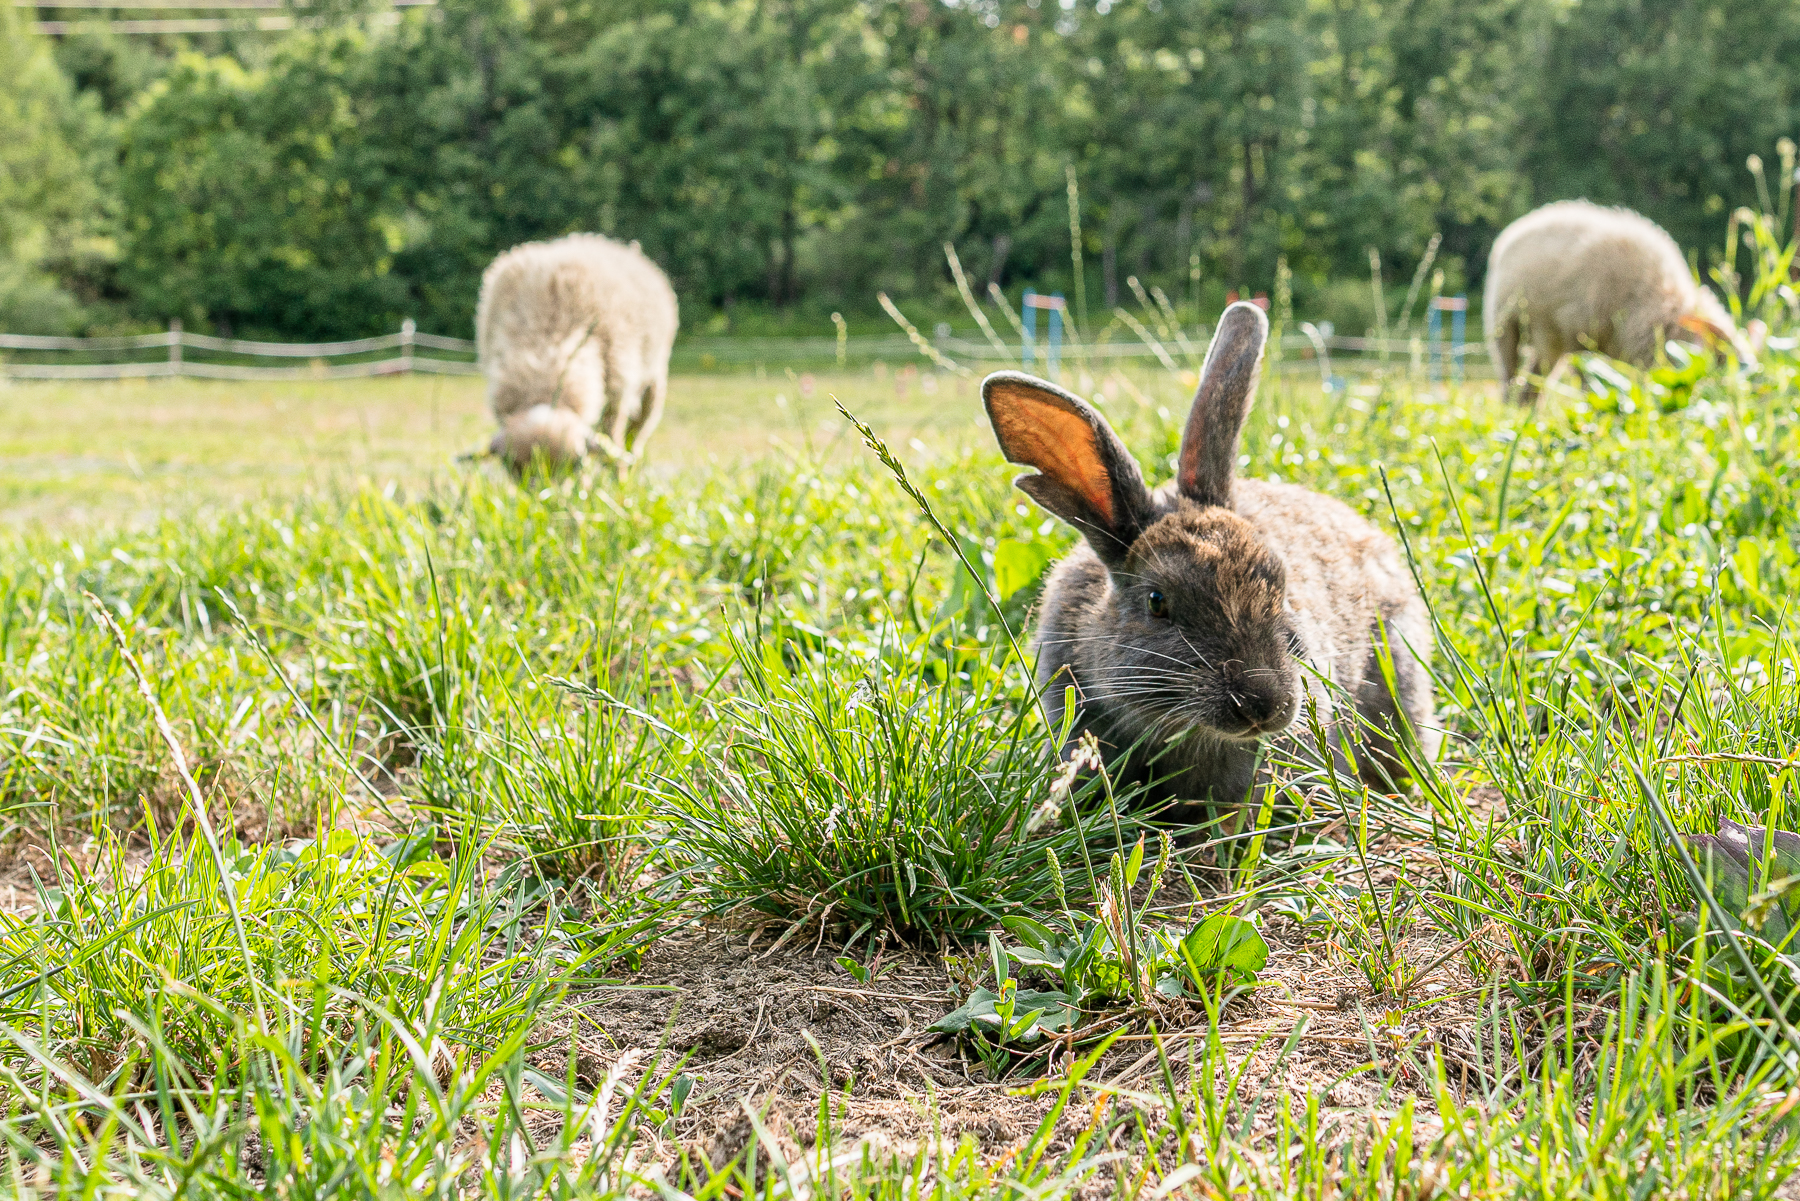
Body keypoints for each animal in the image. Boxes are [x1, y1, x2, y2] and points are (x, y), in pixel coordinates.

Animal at [475, 234, 676, 475]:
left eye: (574, 464)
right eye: (513, 468)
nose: (543, 489)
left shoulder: (616, 396)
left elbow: (612, 441)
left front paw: (617, 480)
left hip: (653, 381)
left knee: (635, 436)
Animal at [1483, 198, 1749, 403]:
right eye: (1719, 363)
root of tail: (1515, 228)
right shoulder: (1578, 334)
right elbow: (1587, 378)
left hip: (1546, 340)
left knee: (1533, 379)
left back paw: (1525, 410)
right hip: (1506, 325)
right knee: (1509, 374)